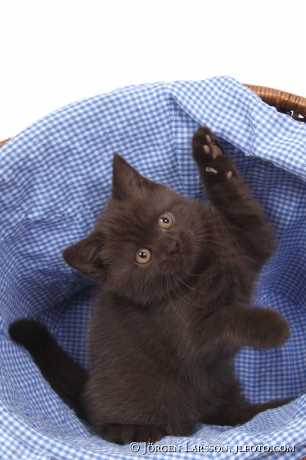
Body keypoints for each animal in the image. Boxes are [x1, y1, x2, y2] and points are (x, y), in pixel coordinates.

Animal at [9, 127, 290, 444]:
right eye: (142, 255)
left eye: (164, 220)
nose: (172, 247)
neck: (200, 269)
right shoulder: (188, 334)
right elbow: (227, 319)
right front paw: (273, 326)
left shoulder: (249, 244)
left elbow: (241, 210)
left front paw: (209, 155)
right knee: (106, 428)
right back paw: (136, 430)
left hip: (222, 384)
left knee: (236, 413)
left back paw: (279, 404)